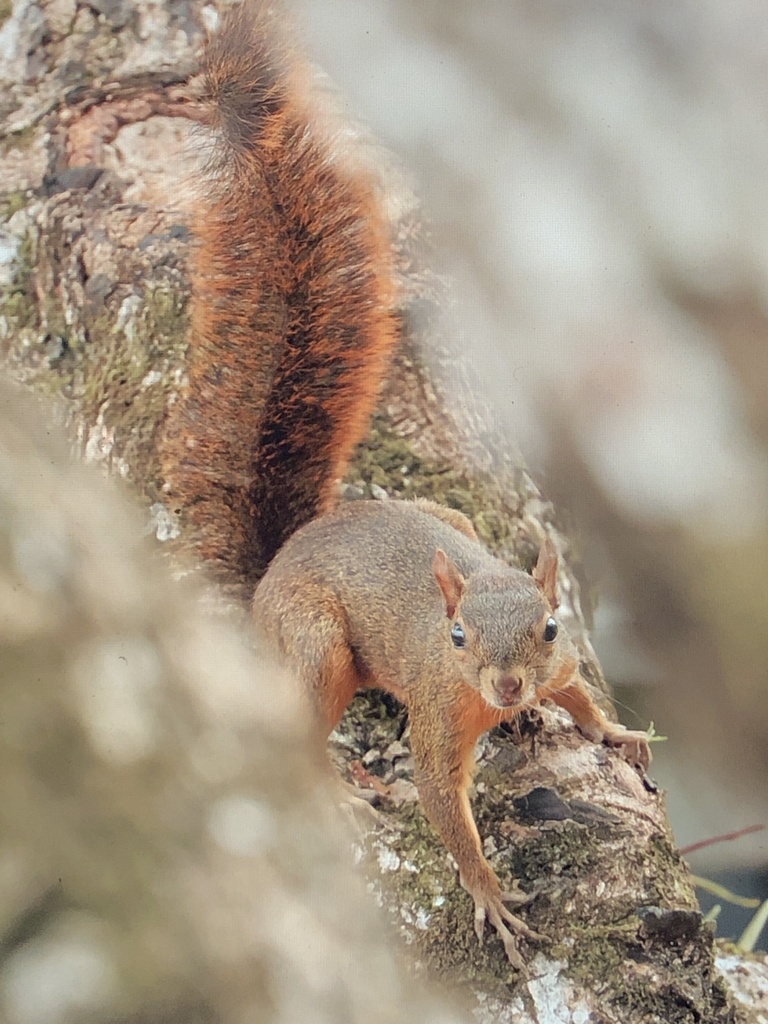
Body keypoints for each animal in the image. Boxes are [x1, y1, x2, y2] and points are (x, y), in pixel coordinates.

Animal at [162, 0, 655, 970]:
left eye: (549, 627)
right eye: (455, 637)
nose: (507, 691)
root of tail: (280, 564)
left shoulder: (561, 662)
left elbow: (581, 695)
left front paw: (614, 731)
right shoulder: (434, 713)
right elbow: (443, 810)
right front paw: (492, 899)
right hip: (317, 645)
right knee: (300, 723)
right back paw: (339, 788)